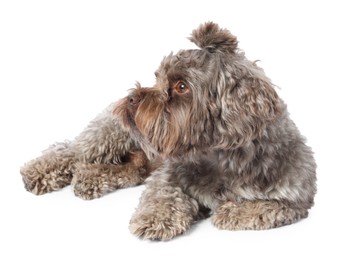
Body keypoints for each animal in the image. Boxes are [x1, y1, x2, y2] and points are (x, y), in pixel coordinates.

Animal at [20, 21, 316, 240]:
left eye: (181, 86)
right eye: (158, 78)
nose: (132, 98)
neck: (222, 158)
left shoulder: (296, 199)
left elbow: (266, 208)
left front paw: (231, 211)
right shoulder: (167, 176)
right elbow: (165, 196)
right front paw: (156, 218)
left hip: (135, 163)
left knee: (122, 169)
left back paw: (88, 179)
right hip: (109, 136)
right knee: (69, 151)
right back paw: (37, 172)